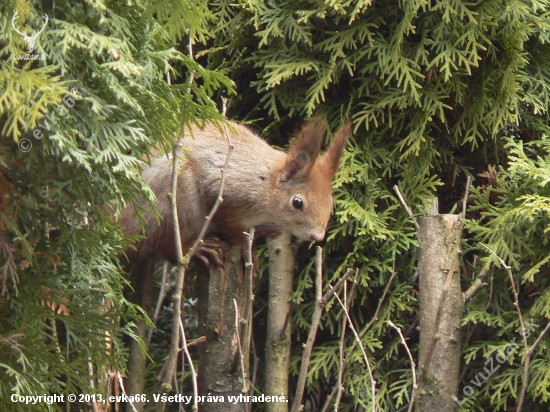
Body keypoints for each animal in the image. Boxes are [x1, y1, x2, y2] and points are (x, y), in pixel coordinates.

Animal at [120, 117, 352, 262]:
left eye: (331, 204)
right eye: (297, 202)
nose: (317, 236)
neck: (265, 184)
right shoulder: (224, 189)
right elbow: (227, 222)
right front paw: (242, 242)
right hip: (174, 199)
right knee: (168, 247)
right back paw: (196, 251)